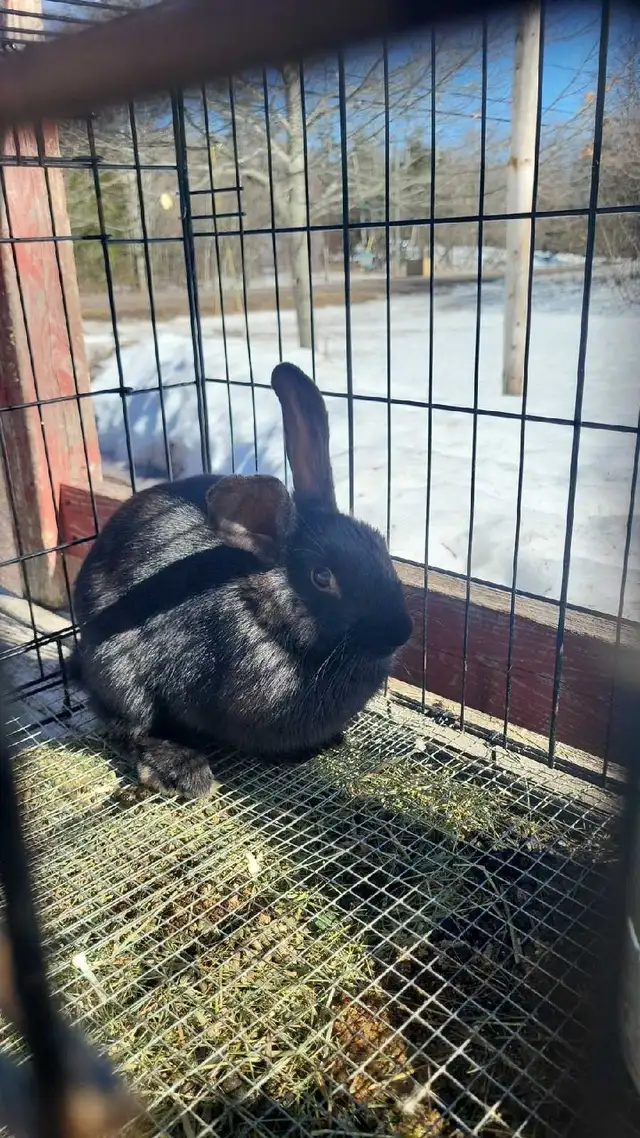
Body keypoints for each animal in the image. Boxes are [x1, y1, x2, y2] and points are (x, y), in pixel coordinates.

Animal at [71, 362, 413, 798]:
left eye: (380, 545)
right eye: (322, 577)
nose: (399, 632)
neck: (264, 618)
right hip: (116, 669)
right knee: (129, 726)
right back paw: (182, 769)